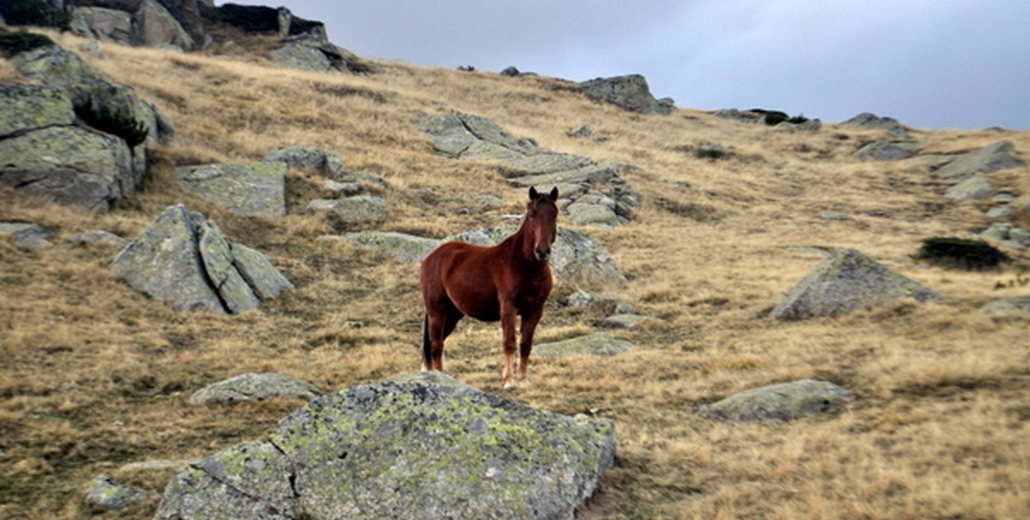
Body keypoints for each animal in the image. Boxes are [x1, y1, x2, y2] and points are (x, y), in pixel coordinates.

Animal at [418, 185, 560, 385]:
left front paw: (522, 379)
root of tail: (431, 257)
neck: (524, 265)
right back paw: (439, 376)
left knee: (437, 343)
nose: (542, 251)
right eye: (532, 214)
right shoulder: (508, 308)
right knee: (436, 344)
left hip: (453, 313)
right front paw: (508, 380)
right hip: (436, 311)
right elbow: (509, 342)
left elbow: (525, 344)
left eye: (554, 214)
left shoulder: (534, 310)